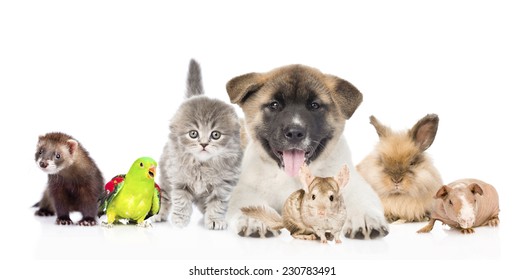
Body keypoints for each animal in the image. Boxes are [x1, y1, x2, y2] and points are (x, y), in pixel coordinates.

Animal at [151, 59, 242, 230]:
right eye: (193, 134)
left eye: (215, 135)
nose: (204, 144)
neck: (201, 165)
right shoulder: (179, 180)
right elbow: (181, 202)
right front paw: (180, 220)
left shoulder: (223, 185)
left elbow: (217, 204)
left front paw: (215, 220)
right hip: (166, 176)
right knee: (164, 196)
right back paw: (159, 215)